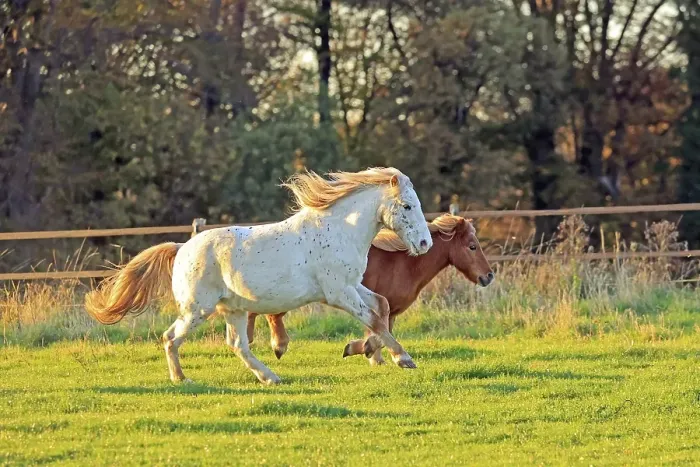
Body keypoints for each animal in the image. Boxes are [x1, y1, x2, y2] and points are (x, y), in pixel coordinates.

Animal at [85, 167, 433, 385]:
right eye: (407, 206)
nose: (425, 244)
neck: (338, 230)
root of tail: (182, 248)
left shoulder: (352, 286)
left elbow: (382, 307)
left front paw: (364, 349)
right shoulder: (338, 293)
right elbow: (373, 318)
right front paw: (403, 358)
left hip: (233, 310)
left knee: (238, 344)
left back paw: (270, 377)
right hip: (198, 310)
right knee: (171, 338)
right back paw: (182, 380)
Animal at [247, 214, 494, 365]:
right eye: (472, 246)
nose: (489, 276)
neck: (403, 263)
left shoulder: (389, 309)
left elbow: (383, 332)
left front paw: (372, 354)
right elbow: (378, 332)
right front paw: (366, 352)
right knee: (270, 315)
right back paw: (277, 345)